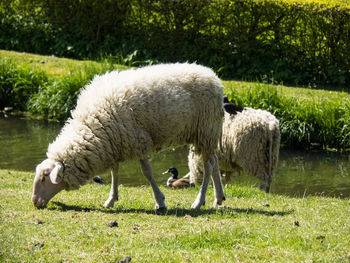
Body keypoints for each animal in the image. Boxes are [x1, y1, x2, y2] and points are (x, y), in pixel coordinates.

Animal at [31, 63, 226, 211]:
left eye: (44, 177)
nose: (34, 202)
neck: (91, 125)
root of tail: (213, 77)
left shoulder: (138, 141)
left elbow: (147, 173)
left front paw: (160, 202)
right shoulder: (114, 142)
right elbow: (114, 172)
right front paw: (111, 199)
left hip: (206, 129)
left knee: (208, 166)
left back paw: (199, 202)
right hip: (206, 133)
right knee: (215, 161)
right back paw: (219, 198)